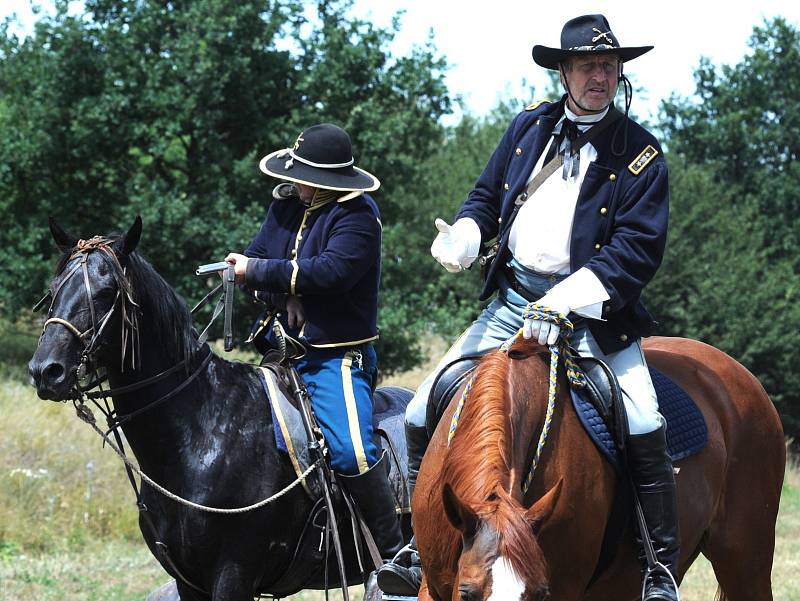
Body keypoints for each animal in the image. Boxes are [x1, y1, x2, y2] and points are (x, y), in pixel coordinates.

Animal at [28, 218, 410, 600]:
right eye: (54, 290)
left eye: (107, 292)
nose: (46, 370)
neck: (200, 435)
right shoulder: (188, 582)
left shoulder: (233, 574)